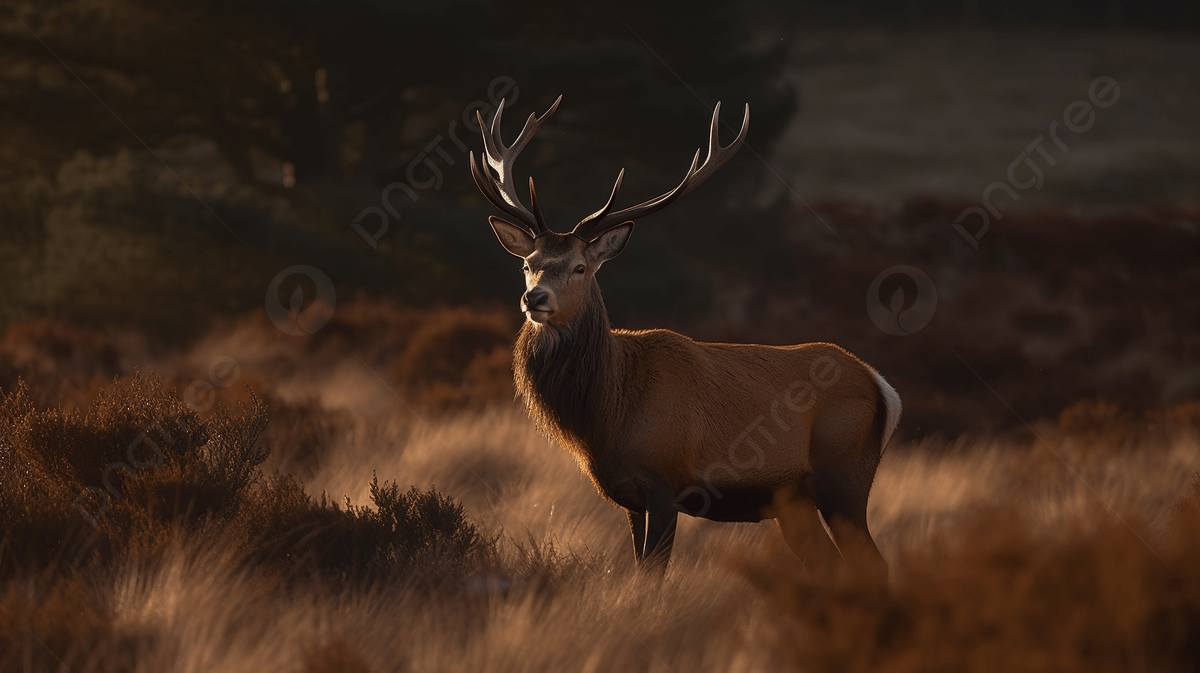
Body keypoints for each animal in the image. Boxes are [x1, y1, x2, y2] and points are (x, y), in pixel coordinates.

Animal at [469, 95, 901, 582]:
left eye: (580, 267)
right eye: (528, 263)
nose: (534, 298)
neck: (609, 414)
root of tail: (883, 387)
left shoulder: (665, 483)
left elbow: (653, 576)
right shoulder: (628, 497)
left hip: (844, 474)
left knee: (873, 562)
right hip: (793, 501)